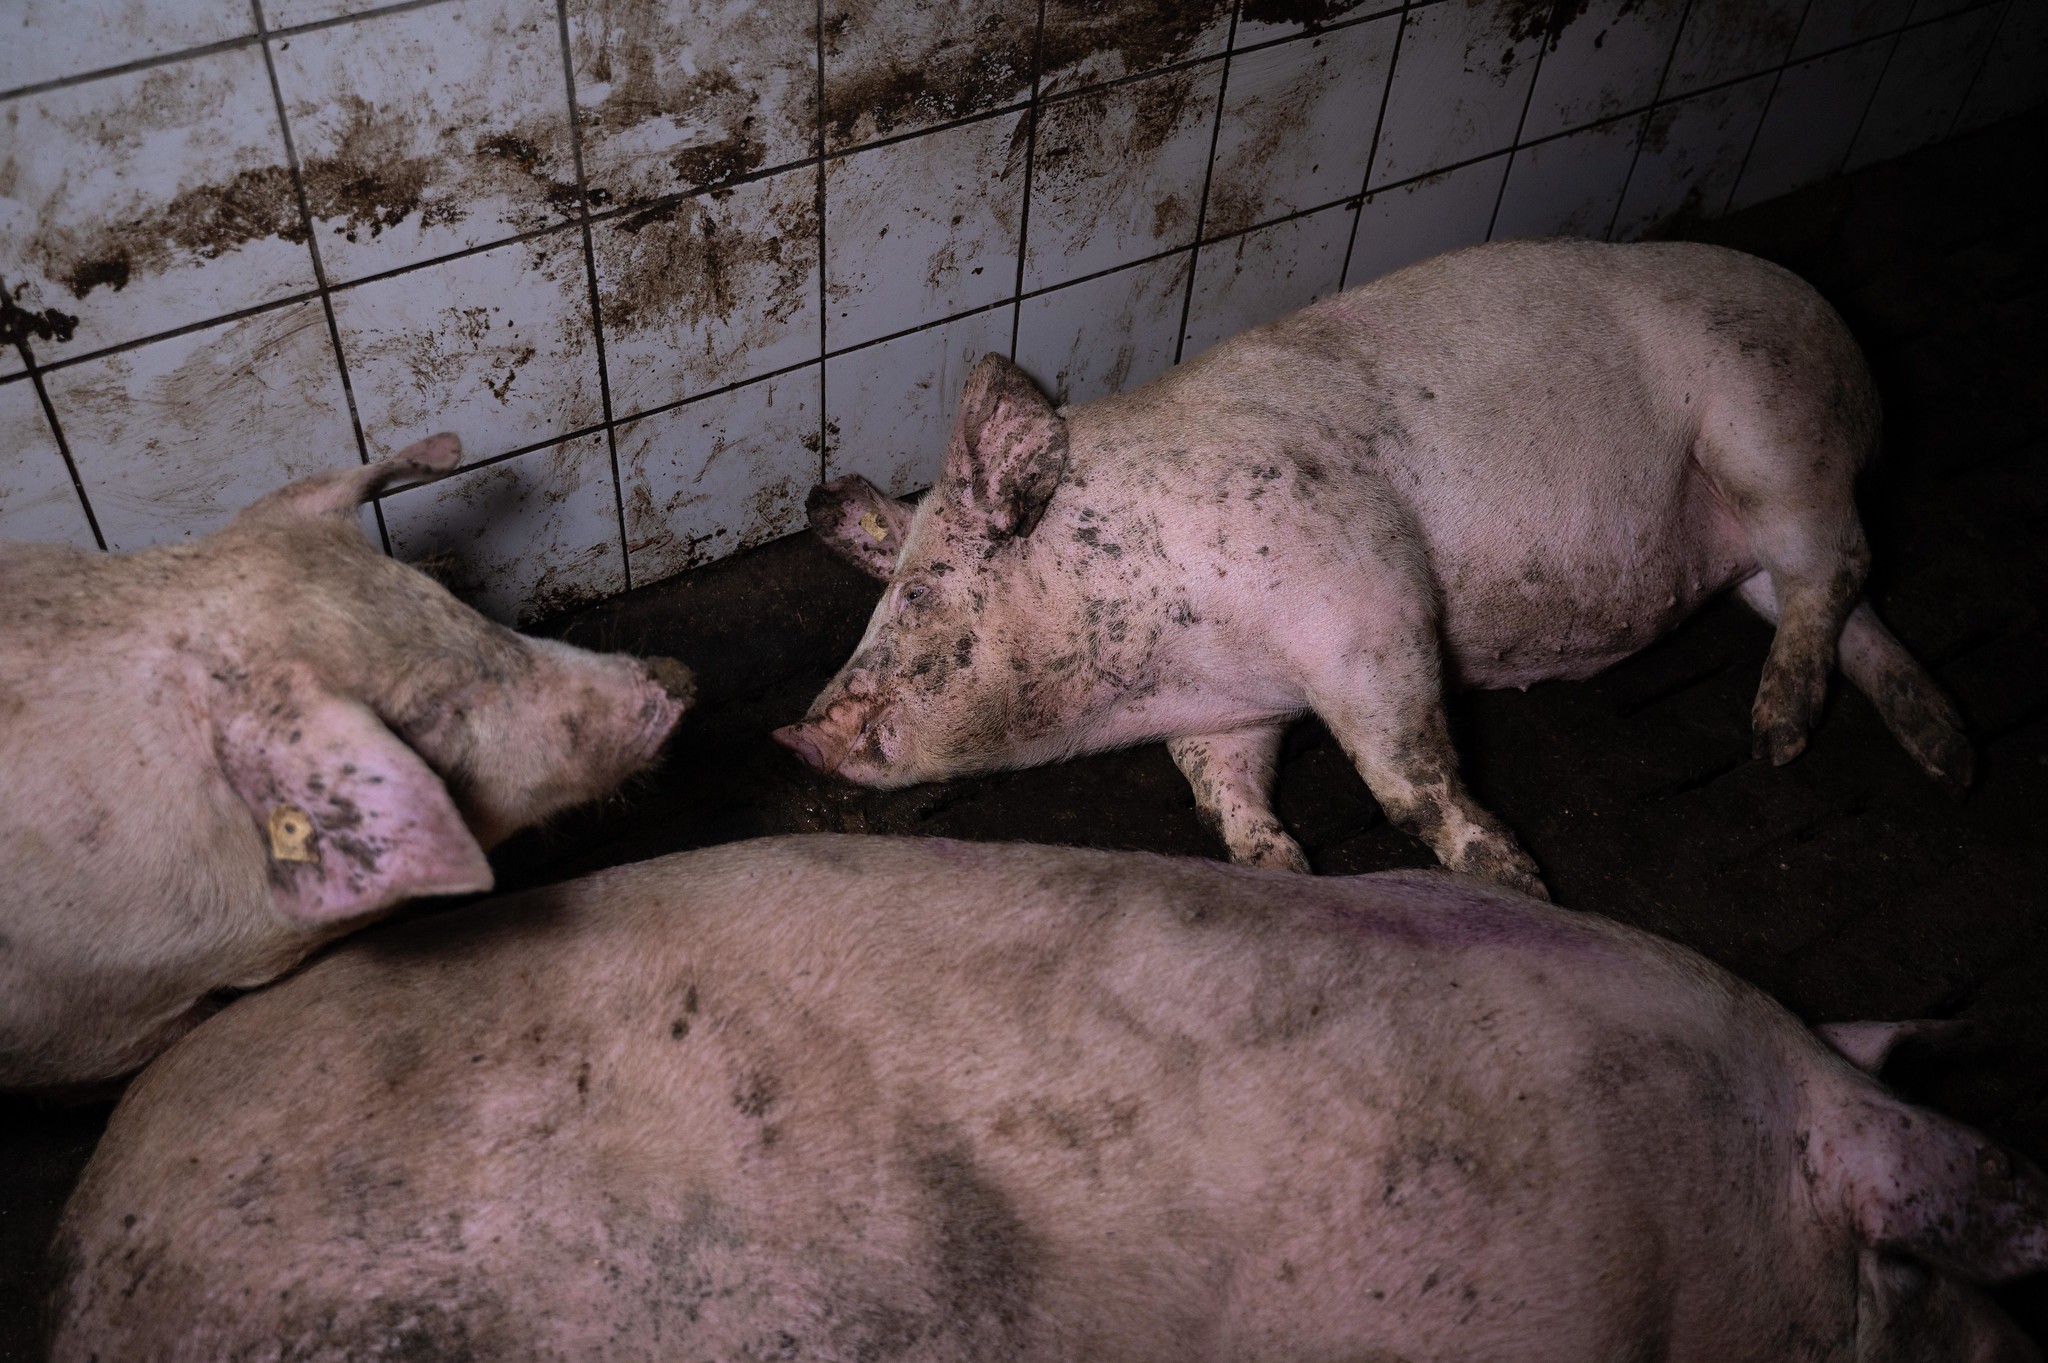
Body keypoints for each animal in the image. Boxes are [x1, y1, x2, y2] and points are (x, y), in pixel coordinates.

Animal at [780, 239, 1973, 898]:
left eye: (919, 591)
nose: (796, 732)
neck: (1167, 667)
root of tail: (1843, 339)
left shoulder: (1371, 598)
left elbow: (1406, 771)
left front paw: (1519, 885)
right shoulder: (1229, 712)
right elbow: (1221, 789)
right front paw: (1280, 872)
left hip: (1772, 434)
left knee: (1843, 563)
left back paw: (1776, 740)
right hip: (1746, 539)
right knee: (1850, 601)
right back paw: (1942, 755)